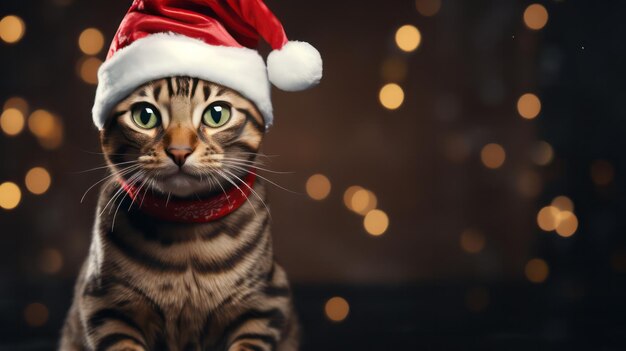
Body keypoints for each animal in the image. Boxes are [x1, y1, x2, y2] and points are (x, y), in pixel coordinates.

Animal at [59, 77, 298, 351]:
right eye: (145, 116)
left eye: (217, 114)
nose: (179, 151)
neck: (187, 226)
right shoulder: (107, 305)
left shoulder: (264, 304)